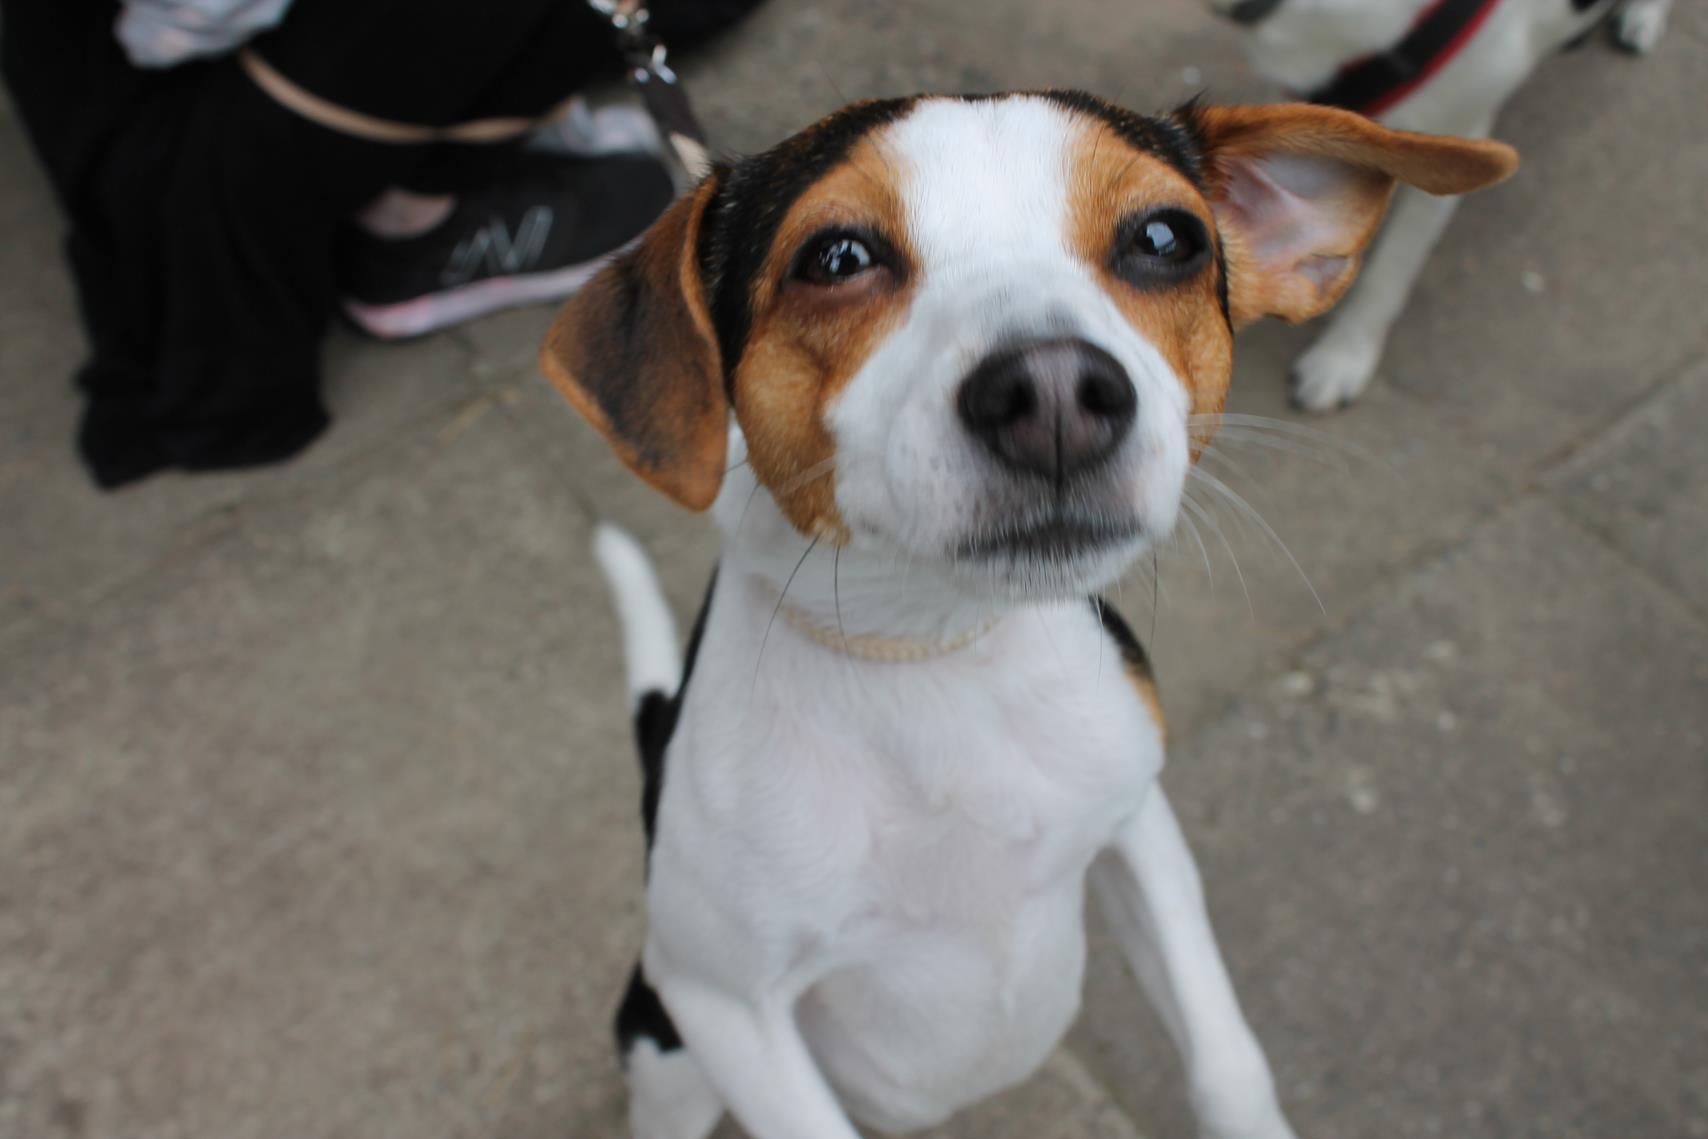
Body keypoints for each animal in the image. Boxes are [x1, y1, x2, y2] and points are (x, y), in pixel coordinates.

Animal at [539, 91, 1516, 1139]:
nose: (1054, 392)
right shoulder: (725, 1005)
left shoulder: (1142, 830)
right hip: (668, 1047)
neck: (936, 651)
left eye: (1166, 238)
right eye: (835, 257)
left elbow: (1228, 1064)